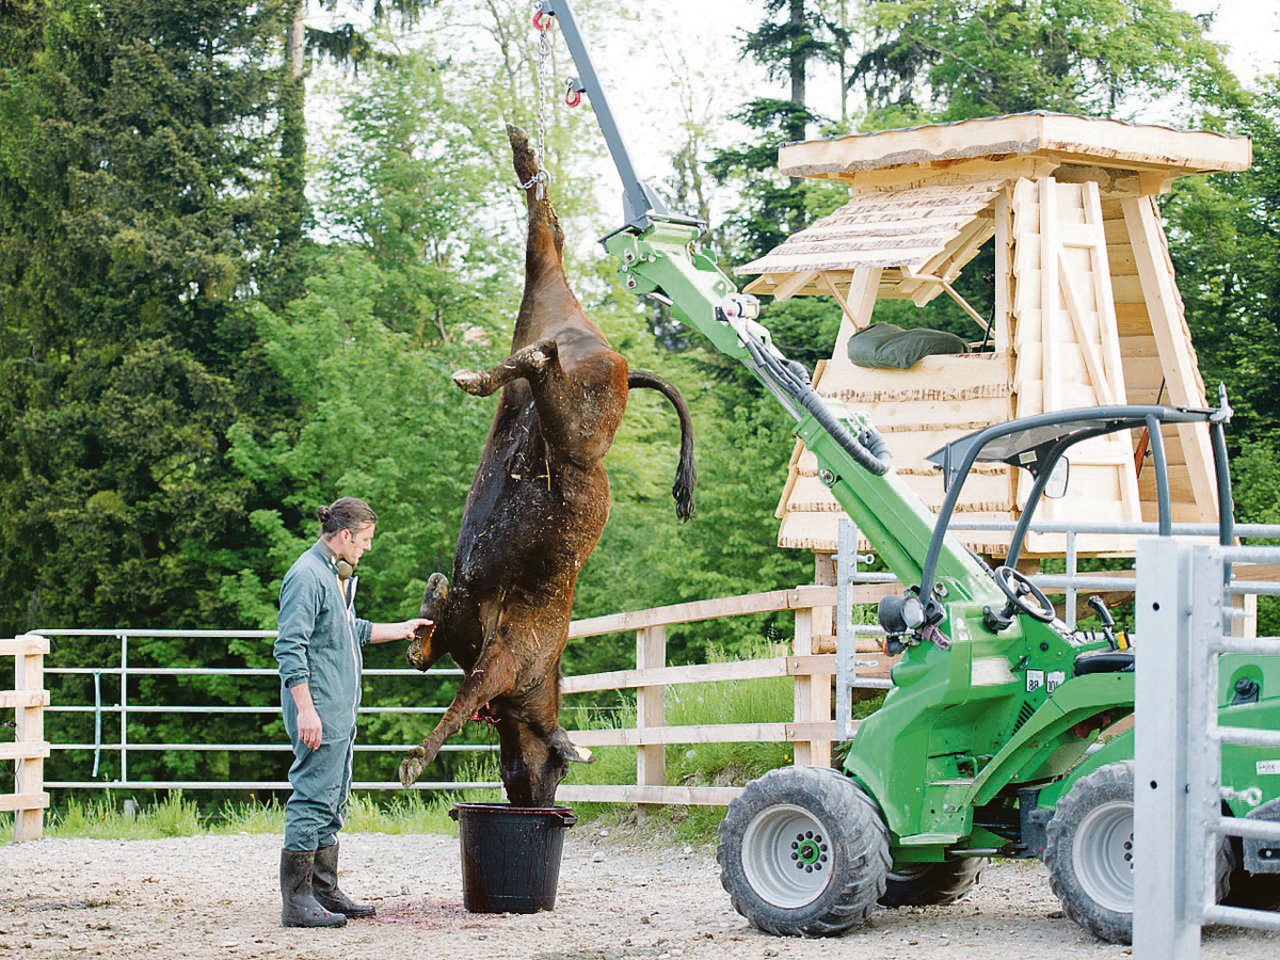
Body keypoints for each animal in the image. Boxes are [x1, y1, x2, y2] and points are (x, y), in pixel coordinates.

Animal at [401, 124, 696, 808]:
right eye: (561, 769)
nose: (540, 798)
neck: (533, 691)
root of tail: (607, 352)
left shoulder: (490, 651)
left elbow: (442, 666)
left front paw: (431, 594)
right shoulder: (502, 658)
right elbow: (454, 689)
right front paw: (417, 757)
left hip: (553, 349)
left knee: (544, 255)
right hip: (570, 411)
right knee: (542, 322)